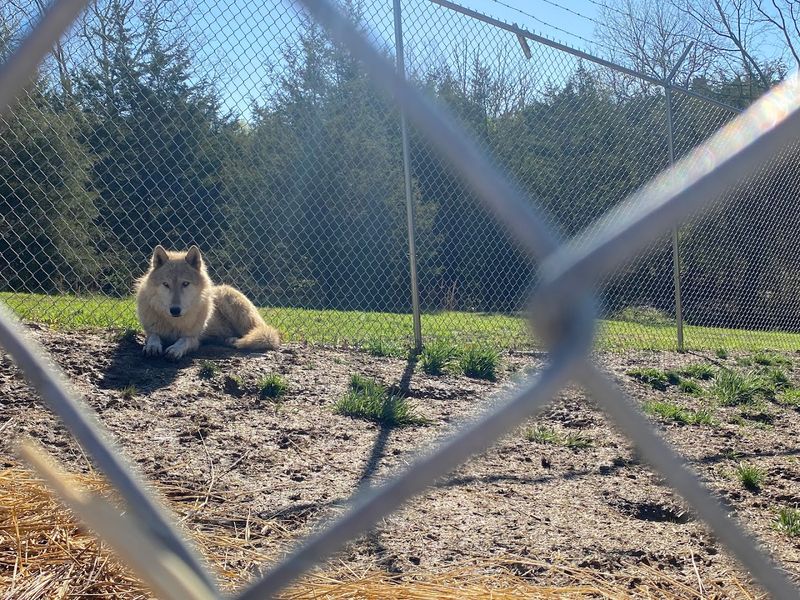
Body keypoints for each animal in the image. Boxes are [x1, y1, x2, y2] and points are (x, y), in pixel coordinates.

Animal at [135, 245, 280, 360]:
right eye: (166, 284)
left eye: (185, 284)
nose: (175, 310)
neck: (174, 322)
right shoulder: (150, 330)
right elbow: (153, 336)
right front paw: (152, 346)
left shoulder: (194, 339)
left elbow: (184, 340)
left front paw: (175, 349)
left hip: (227, 296)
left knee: (256, 333)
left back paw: (234, 340)